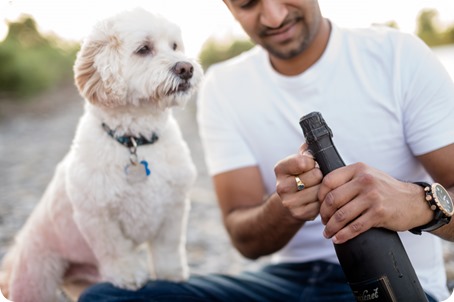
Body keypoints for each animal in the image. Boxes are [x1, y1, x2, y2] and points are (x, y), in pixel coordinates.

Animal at [0, 7, 202, 302]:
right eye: (143, 49)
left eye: (175, 46)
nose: (186, 68)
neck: (136, 140)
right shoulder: (97, 217)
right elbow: (115, 251)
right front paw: (129, 277)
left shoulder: (174, 208)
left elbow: (169, 247)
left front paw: (171, 275)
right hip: (36, 278)